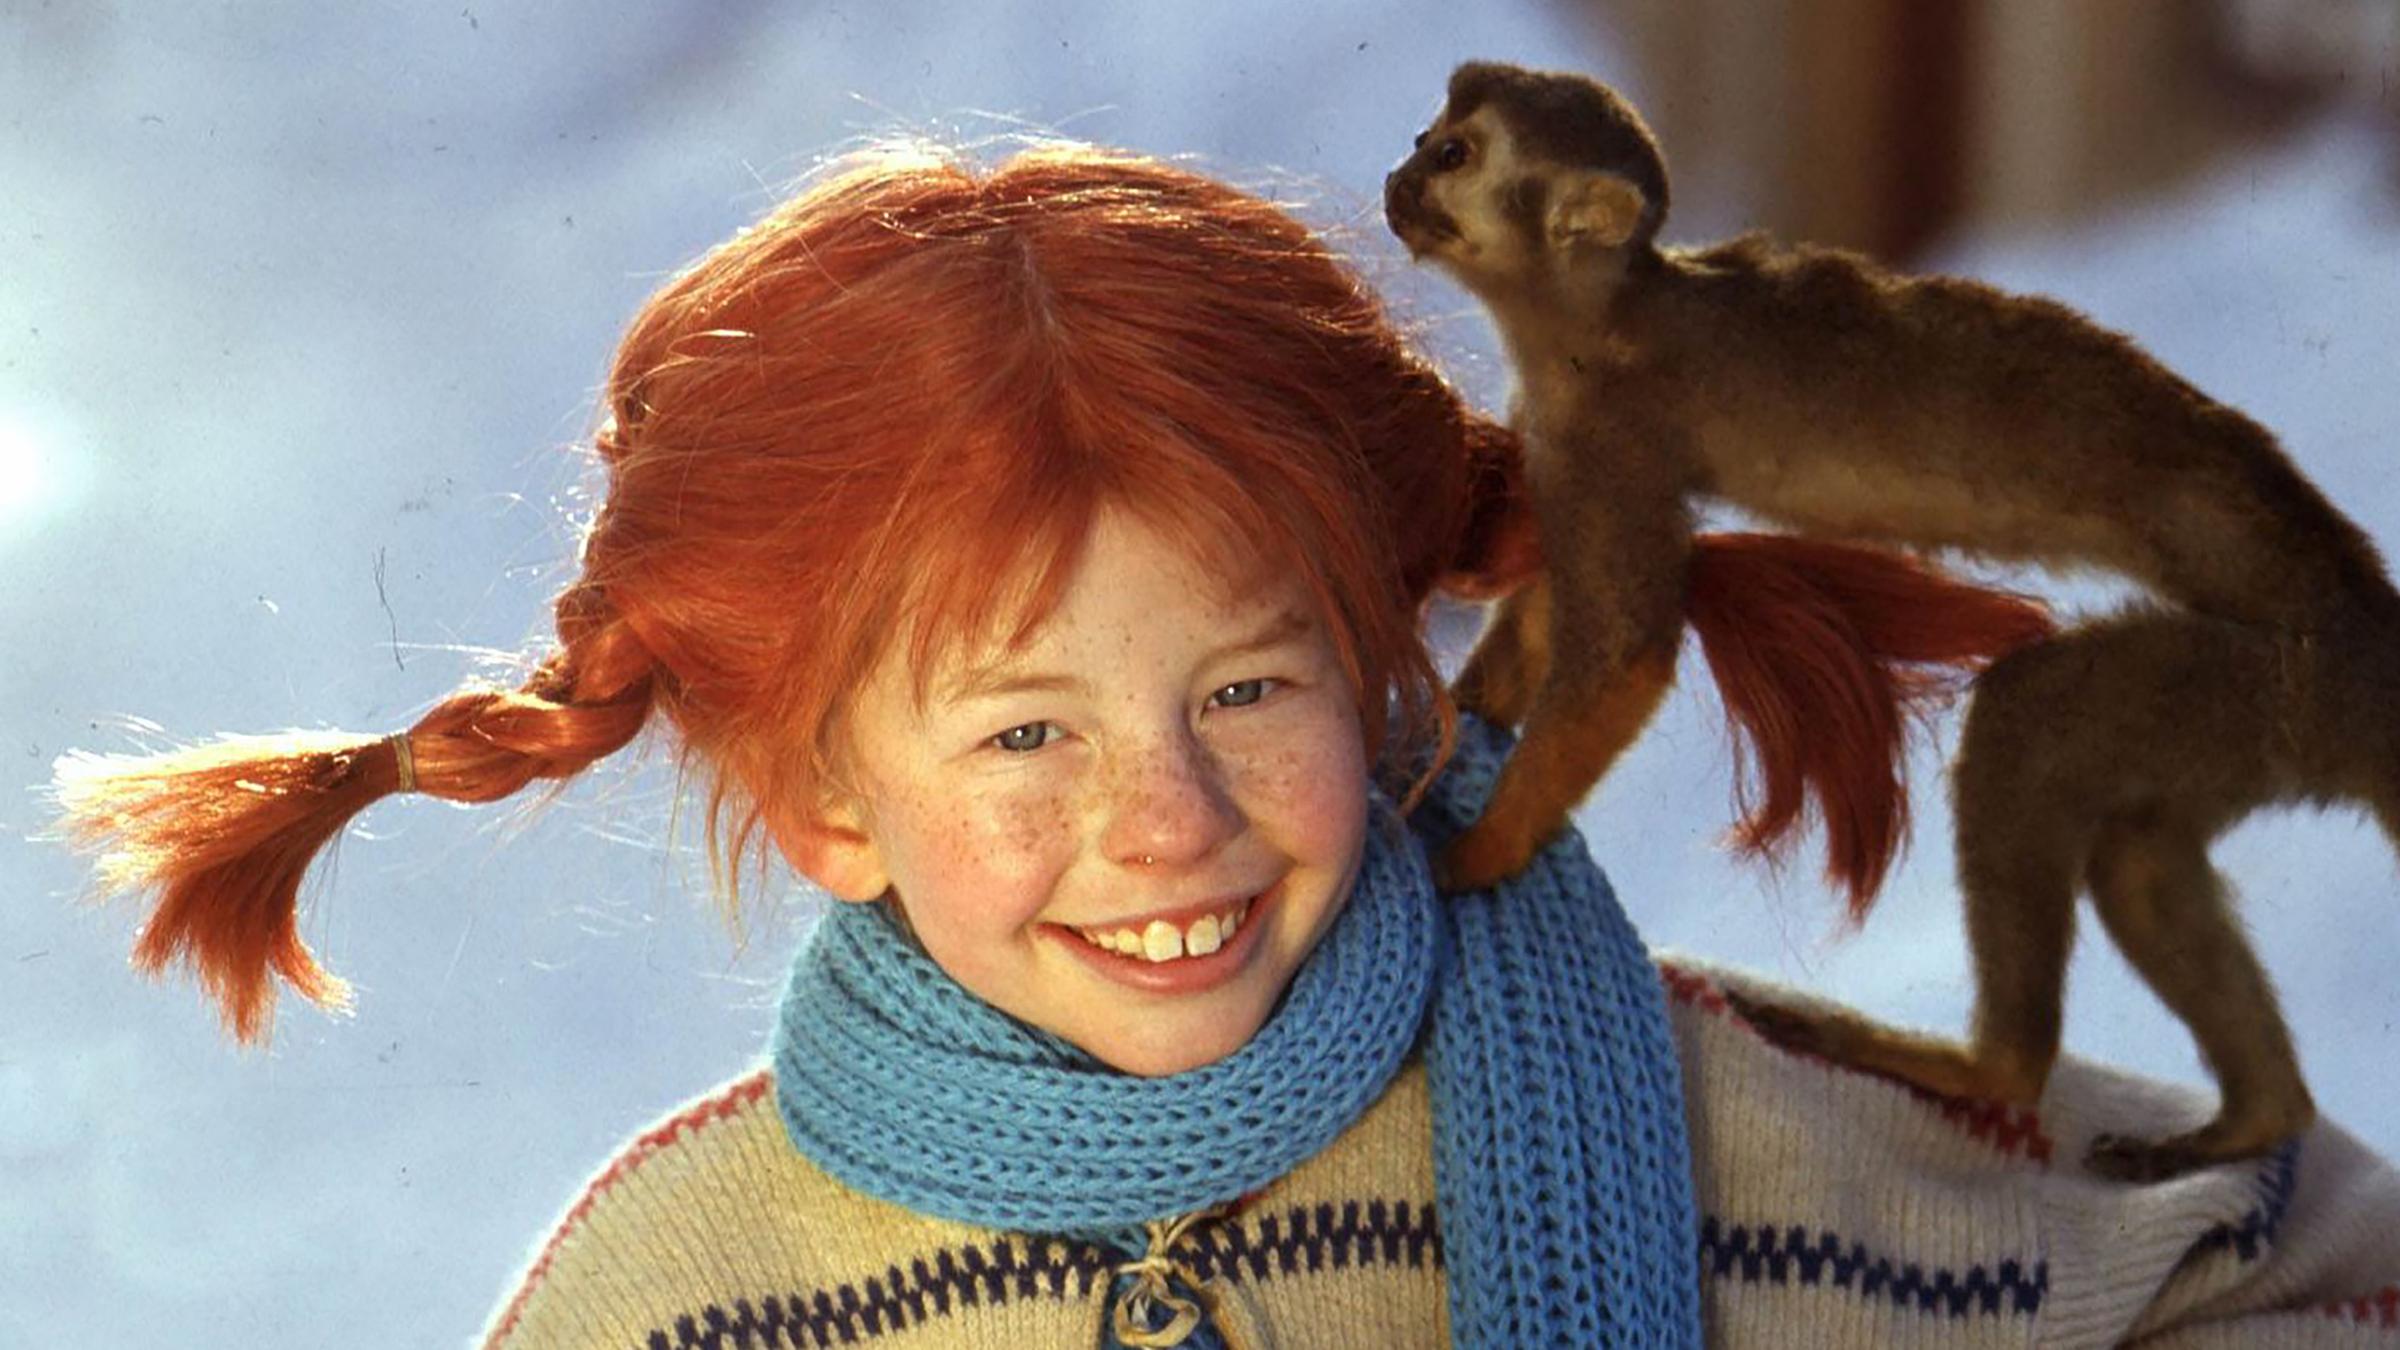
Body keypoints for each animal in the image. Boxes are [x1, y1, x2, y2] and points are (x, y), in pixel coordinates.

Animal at [1383, 59, 2400, 1179]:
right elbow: (1558, 614)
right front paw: (1458, 720)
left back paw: (1994, 1068)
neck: (1600, 315)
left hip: (2287, 688)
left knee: (2030, 721)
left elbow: (1624, 652)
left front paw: (1475, 856)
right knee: (2134, 846)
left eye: (1454, 156)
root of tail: (2373, 636)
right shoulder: (1563, 430)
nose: (1398, 178)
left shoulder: (1613, 432)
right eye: (1429, 136)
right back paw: (2259, 1113)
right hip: (2277, 727)